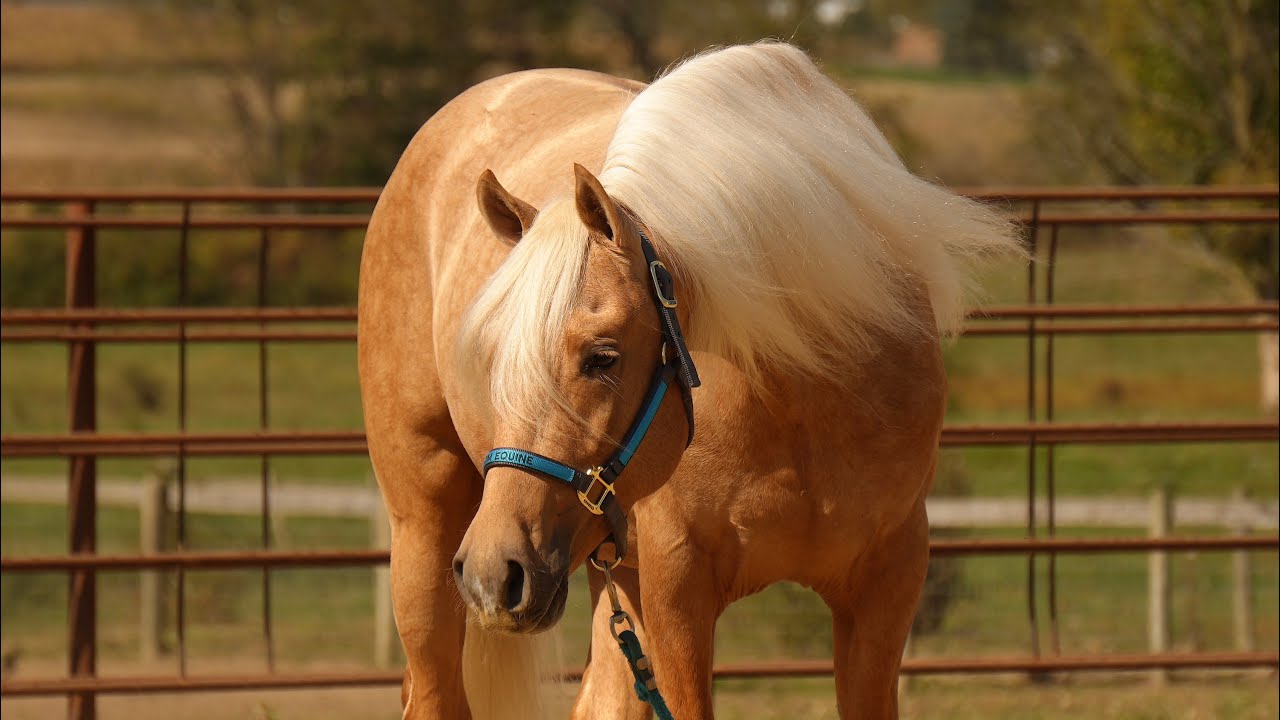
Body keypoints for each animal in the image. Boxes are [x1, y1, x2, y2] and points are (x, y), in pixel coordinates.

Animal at [358, 42, 1019, 719]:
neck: (803, 394)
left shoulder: (888, 581)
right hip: (427, 535)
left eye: (603, 357)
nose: (497, 573)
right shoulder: (676, 582)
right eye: (491, 358)